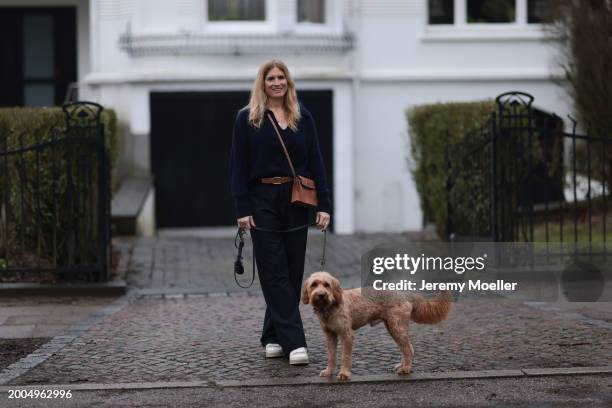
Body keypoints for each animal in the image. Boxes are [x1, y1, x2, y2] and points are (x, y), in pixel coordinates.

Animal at [302, 272, 452, 380]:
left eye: (327, 285)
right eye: (314, 285)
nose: (321, 295)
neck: (330, 306)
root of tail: (404, 294)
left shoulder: (347, 335)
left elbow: (346, 356)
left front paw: (344, 373)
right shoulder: (330, 335)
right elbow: (331, 356)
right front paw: (329, 371)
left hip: (396, 327)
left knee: (408, 349)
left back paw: (406, 369)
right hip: (393, 328)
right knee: (407, 348)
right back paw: (403, 366)